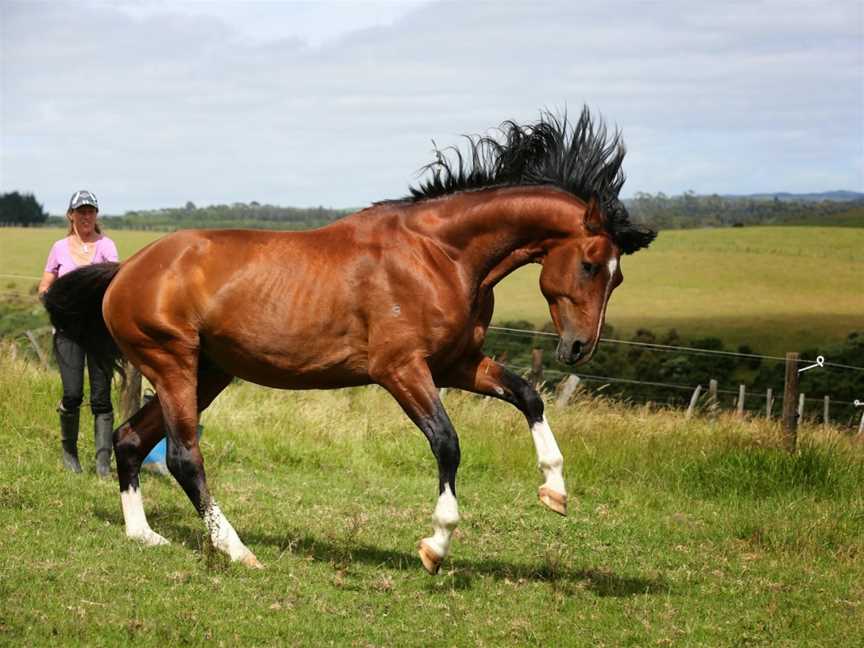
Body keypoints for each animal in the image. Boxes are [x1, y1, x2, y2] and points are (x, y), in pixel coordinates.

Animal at [45, 107, 656, 572]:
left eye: (620, 275)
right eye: (588, 264)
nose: (578, 348)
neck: (442, 255)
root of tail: (126, 272)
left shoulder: (456, 363)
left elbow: (528, 396)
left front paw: (555, 490)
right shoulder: (401, 369)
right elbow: (447, 443)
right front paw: (435, 546)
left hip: (209, 372)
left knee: (130, 439)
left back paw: (145, 535)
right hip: (173, 362)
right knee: (182, 456)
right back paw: (239, 552)